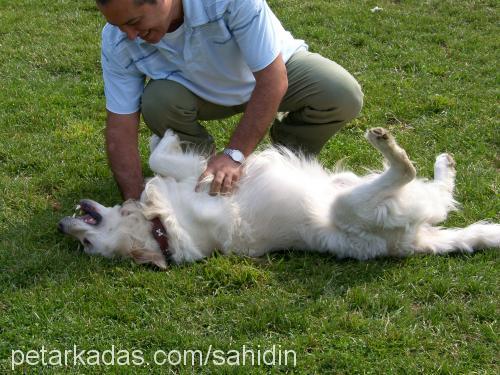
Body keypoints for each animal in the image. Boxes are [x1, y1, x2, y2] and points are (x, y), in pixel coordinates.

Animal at [59, 128, 500, 268]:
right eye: (86, 248)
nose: (62, 226)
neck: (159, 229)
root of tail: (411, 243)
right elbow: (160, 164)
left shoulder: (198, 178)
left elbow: (158, 160)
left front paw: (159, 138)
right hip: (353, 204)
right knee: (407, 173)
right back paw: (390, 146)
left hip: (352, 185)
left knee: (438, 189)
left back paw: (443, 162)